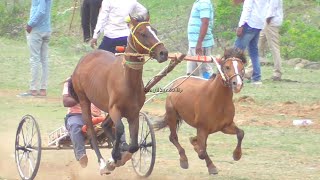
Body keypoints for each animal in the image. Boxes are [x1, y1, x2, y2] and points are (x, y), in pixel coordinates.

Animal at [69, 15, 169, 174]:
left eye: (155, 31)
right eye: (143, 33)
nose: (163, 53)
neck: (127, 81)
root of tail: (84, 59)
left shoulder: (134, 112)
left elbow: (134, 145)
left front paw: (121, 153)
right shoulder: (114, 109)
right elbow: (120, 129)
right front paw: (114, 156)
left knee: (105, 124)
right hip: (84, 99)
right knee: (91, 131)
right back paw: (102, 162)